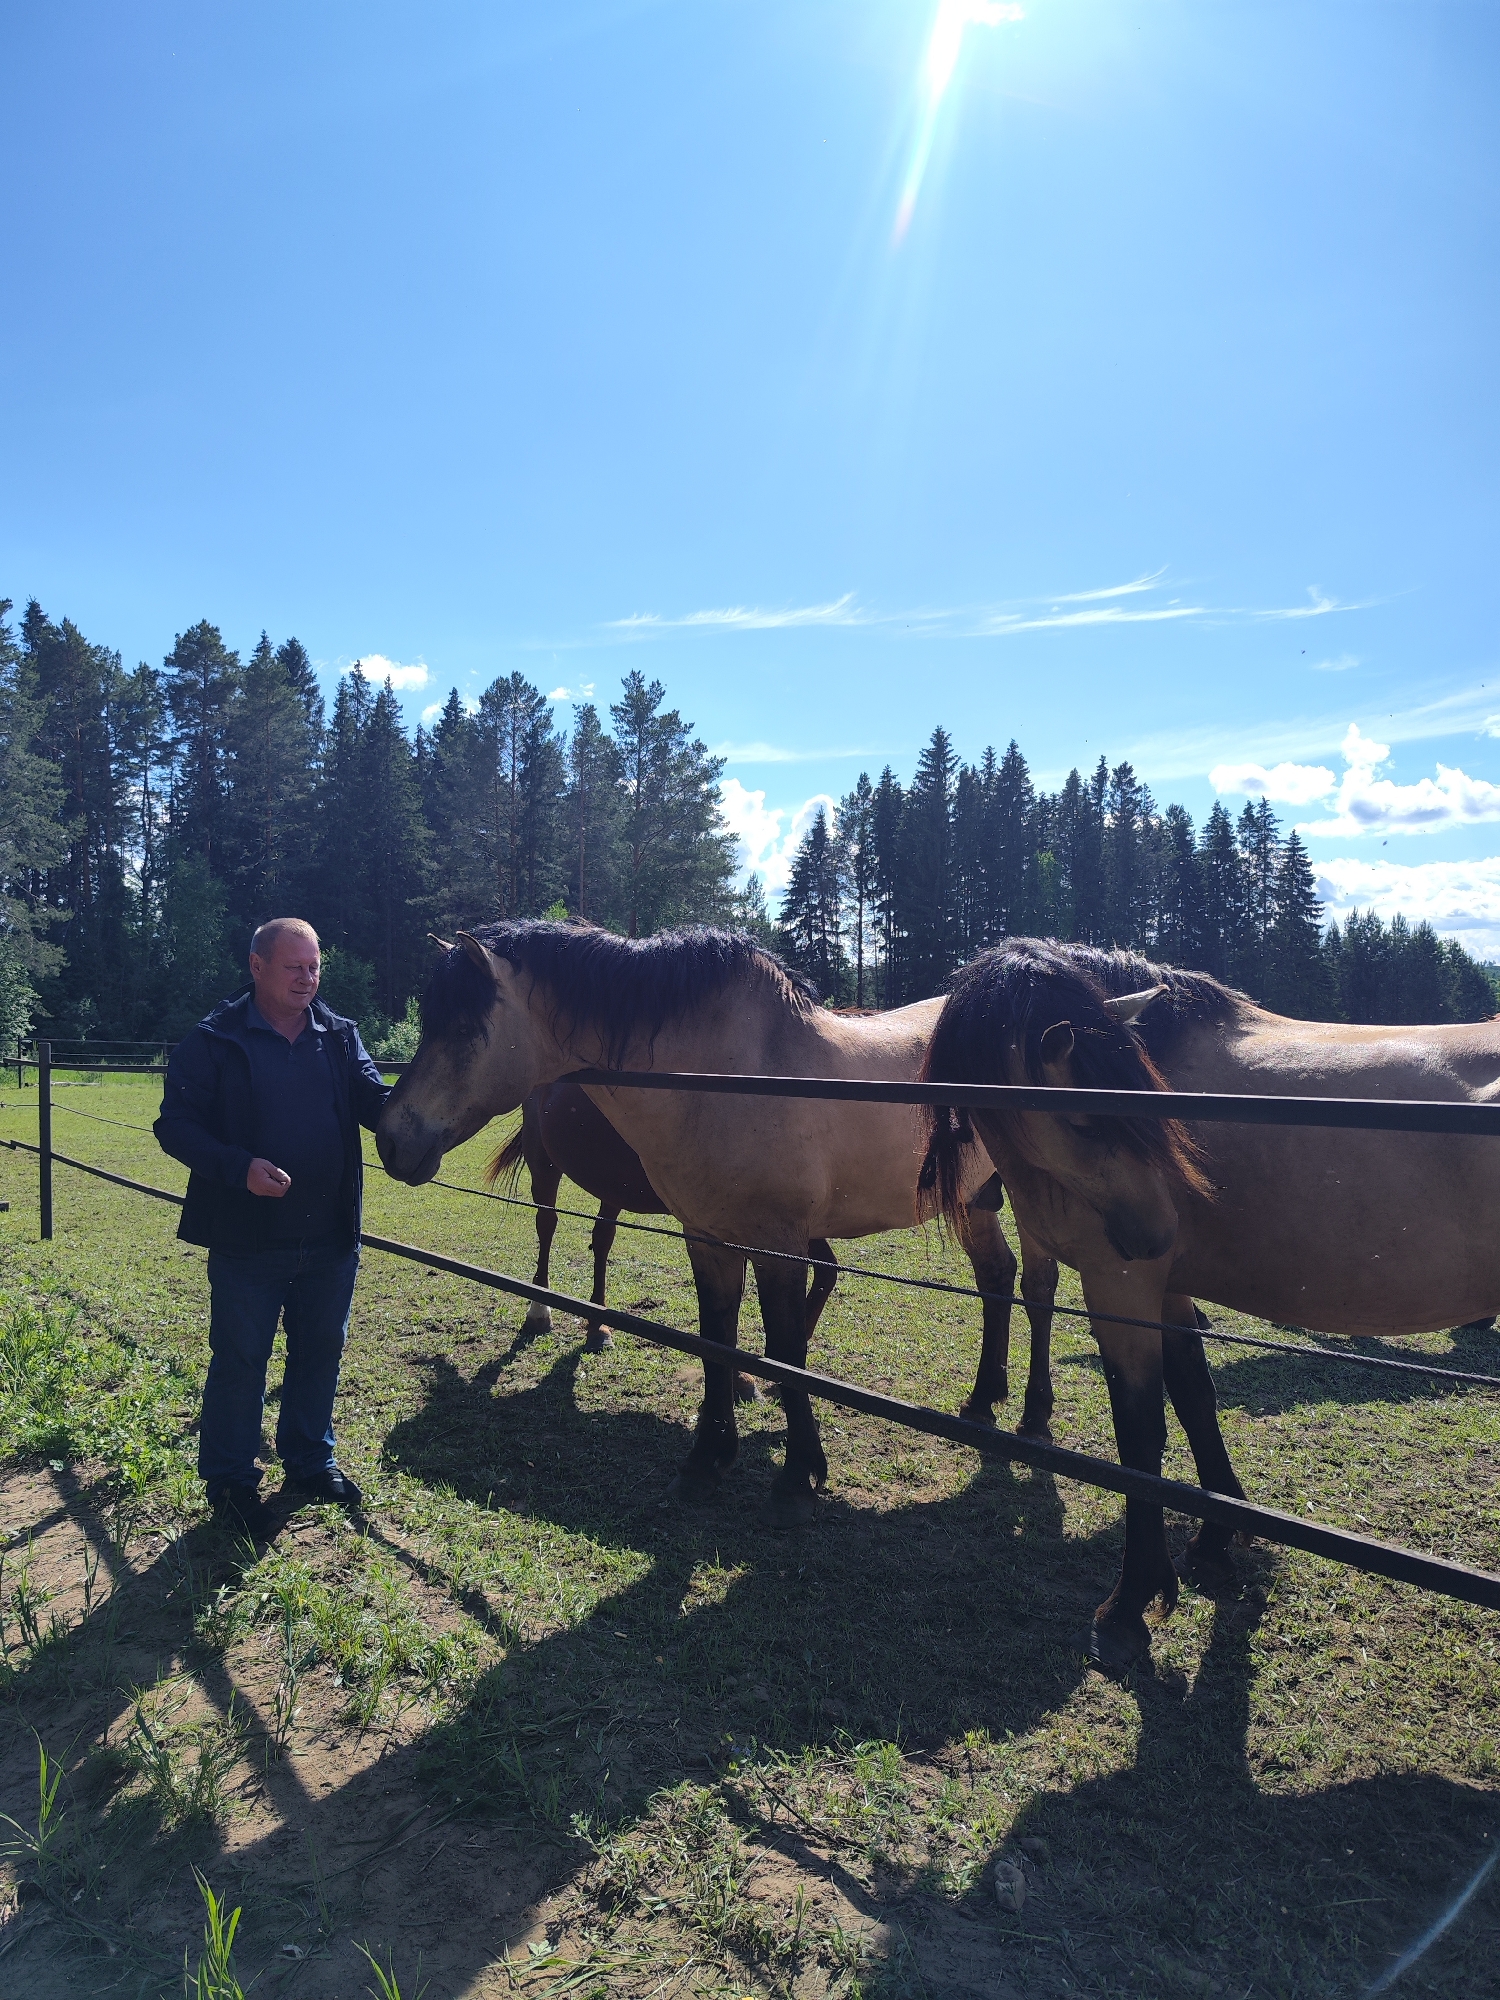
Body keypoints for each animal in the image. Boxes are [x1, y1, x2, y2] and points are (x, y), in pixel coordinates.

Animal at [489, 1080, 842, 1388]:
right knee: (546, 1225)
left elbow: (828, 1270)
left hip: (610, 1184)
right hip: (542, 1161)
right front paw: (744, 1377)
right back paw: (539, 1311)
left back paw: (598, 1326)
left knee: (602, 1238)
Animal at [920, 936, 1500, 1668]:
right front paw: (1216, 1538)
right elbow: (1195, 1398)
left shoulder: (1122, 1285)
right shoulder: (1170, 1289)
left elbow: (1141, 1435)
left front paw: (1130, 1604)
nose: (1153, 1233)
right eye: (1087, 1119)